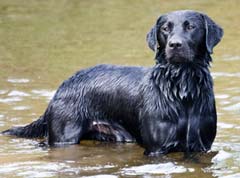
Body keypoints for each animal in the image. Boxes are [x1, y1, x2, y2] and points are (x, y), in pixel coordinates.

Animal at [1, 10, 223, 156]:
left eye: (191, 26)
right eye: (165, 29)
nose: (175, 45)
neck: (182, 89)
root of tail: (61, 87)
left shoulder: (202, 147)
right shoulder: (156, 148)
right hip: (64, 136)